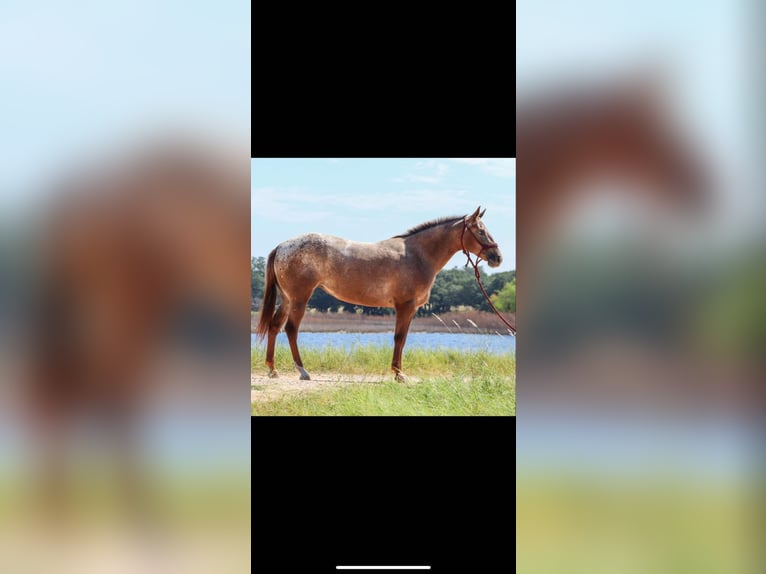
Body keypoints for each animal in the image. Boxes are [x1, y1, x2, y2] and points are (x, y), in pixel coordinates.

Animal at [254, 207, 504, 382]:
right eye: (480, 230)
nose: (497, 257)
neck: (417, 255)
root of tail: (282, 246)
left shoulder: (410, 309)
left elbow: (402, 339)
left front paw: (398, 372)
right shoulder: (405, 306)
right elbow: (399, 338)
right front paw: (398, 374)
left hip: (287, 299)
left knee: (274, 327)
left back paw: (272, 370)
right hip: (299, 299)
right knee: (291, 329)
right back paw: (303, 370)